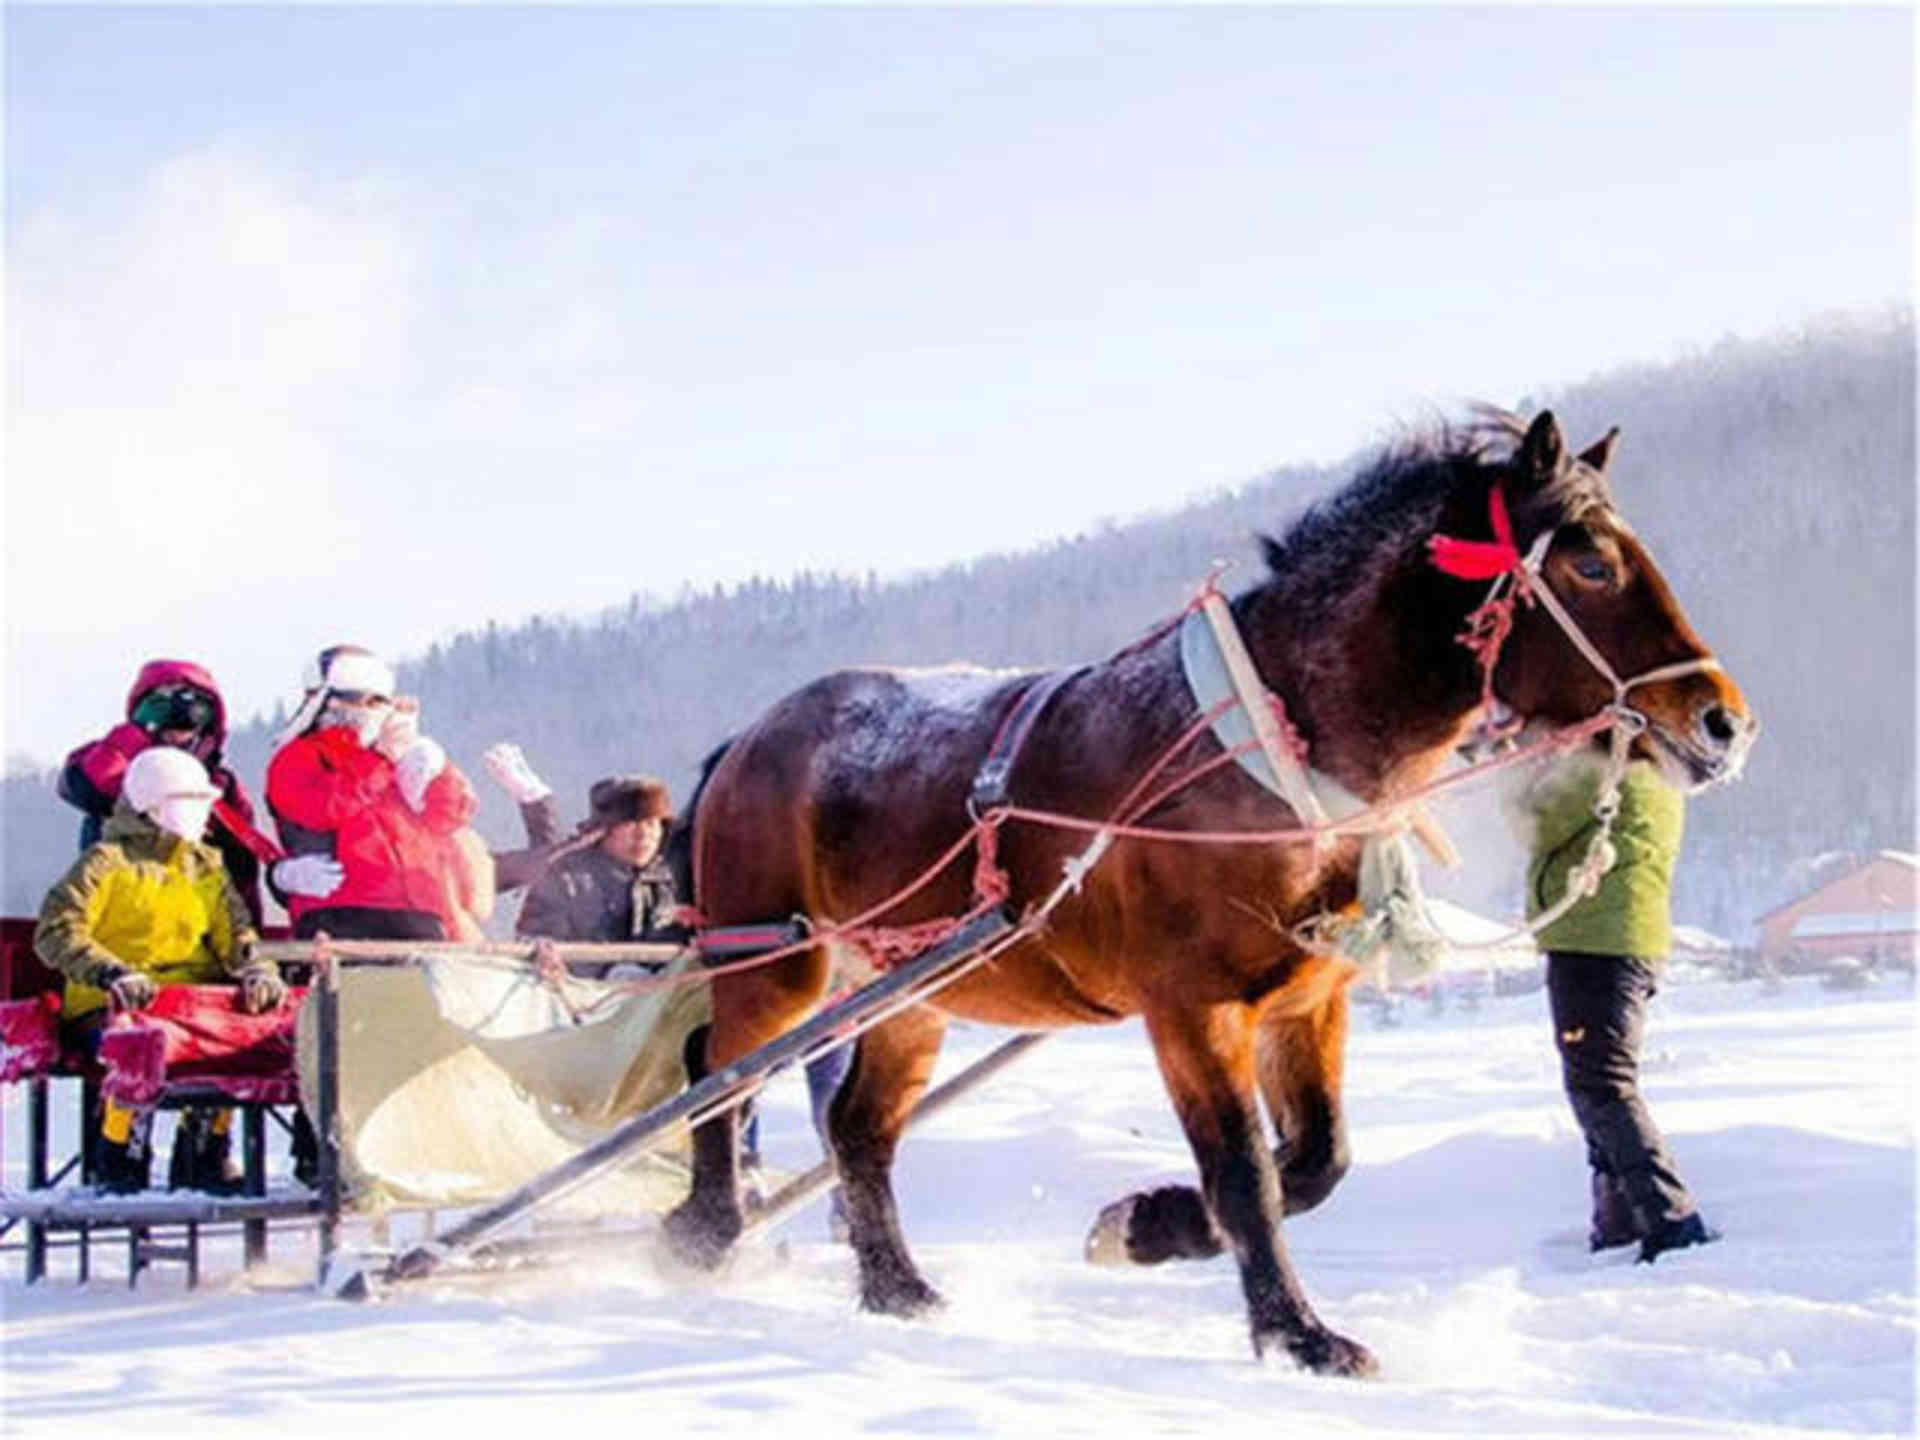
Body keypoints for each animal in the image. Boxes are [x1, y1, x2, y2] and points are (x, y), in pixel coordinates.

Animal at [661, 410, 1756, 1376]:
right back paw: (704, 1227)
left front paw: (1147, 1225)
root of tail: (748, 737)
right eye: (1591, 565)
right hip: (776, 964)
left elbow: (1315, 1161)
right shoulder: (1191, 1007)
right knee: (715, 1072)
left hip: (913, 991)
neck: (1274, 744)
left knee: (858, 1128)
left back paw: (895, 1286)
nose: (1723, 721)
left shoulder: (1305, 1003)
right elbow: (1246, 1172)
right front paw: (1299, 1334)